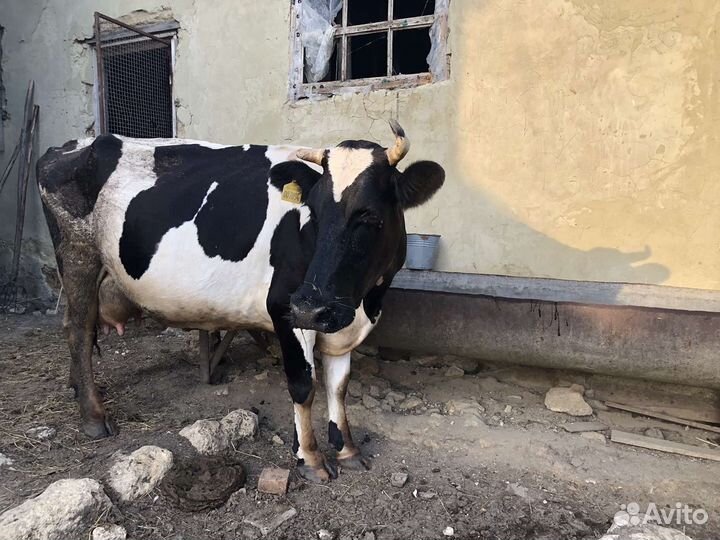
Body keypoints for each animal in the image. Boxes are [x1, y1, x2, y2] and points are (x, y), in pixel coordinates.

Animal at [37, 121, 444, 482]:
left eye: (369, 216)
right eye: (313, 213)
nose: (310, 305)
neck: (364, 302)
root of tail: (74, 144)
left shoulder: (341, 319)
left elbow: (338, 385)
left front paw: (346, 448)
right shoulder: (286, 308)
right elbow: (303, 383)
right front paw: (310, 458)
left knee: (78, 327)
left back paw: (79, 388)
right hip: (77, 253)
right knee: (79, 329)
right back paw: (93, 417)